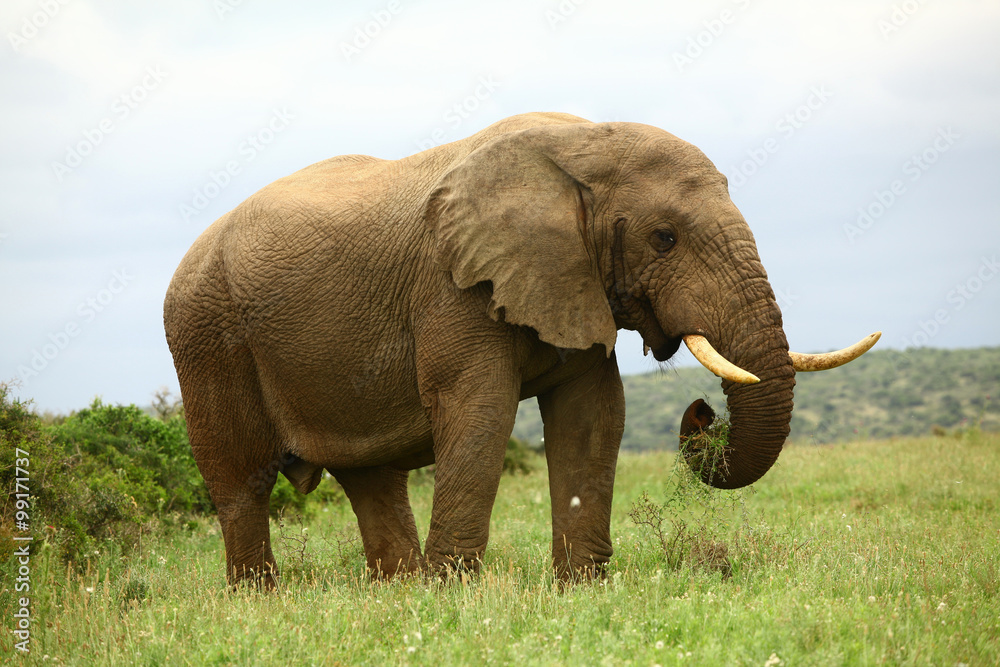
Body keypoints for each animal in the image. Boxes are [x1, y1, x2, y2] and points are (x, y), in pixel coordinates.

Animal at [164, 112, 878, 587]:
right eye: (665, 238)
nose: (702, 413)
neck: (583, 145)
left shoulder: (577, 281)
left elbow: (594, 416)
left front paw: (581, 591)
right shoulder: (454, 285)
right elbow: (481, 411)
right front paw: (452, 598)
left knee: (372, 478)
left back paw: (396, 592)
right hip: (205, 335)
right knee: (239, 480)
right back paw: (262, 600)